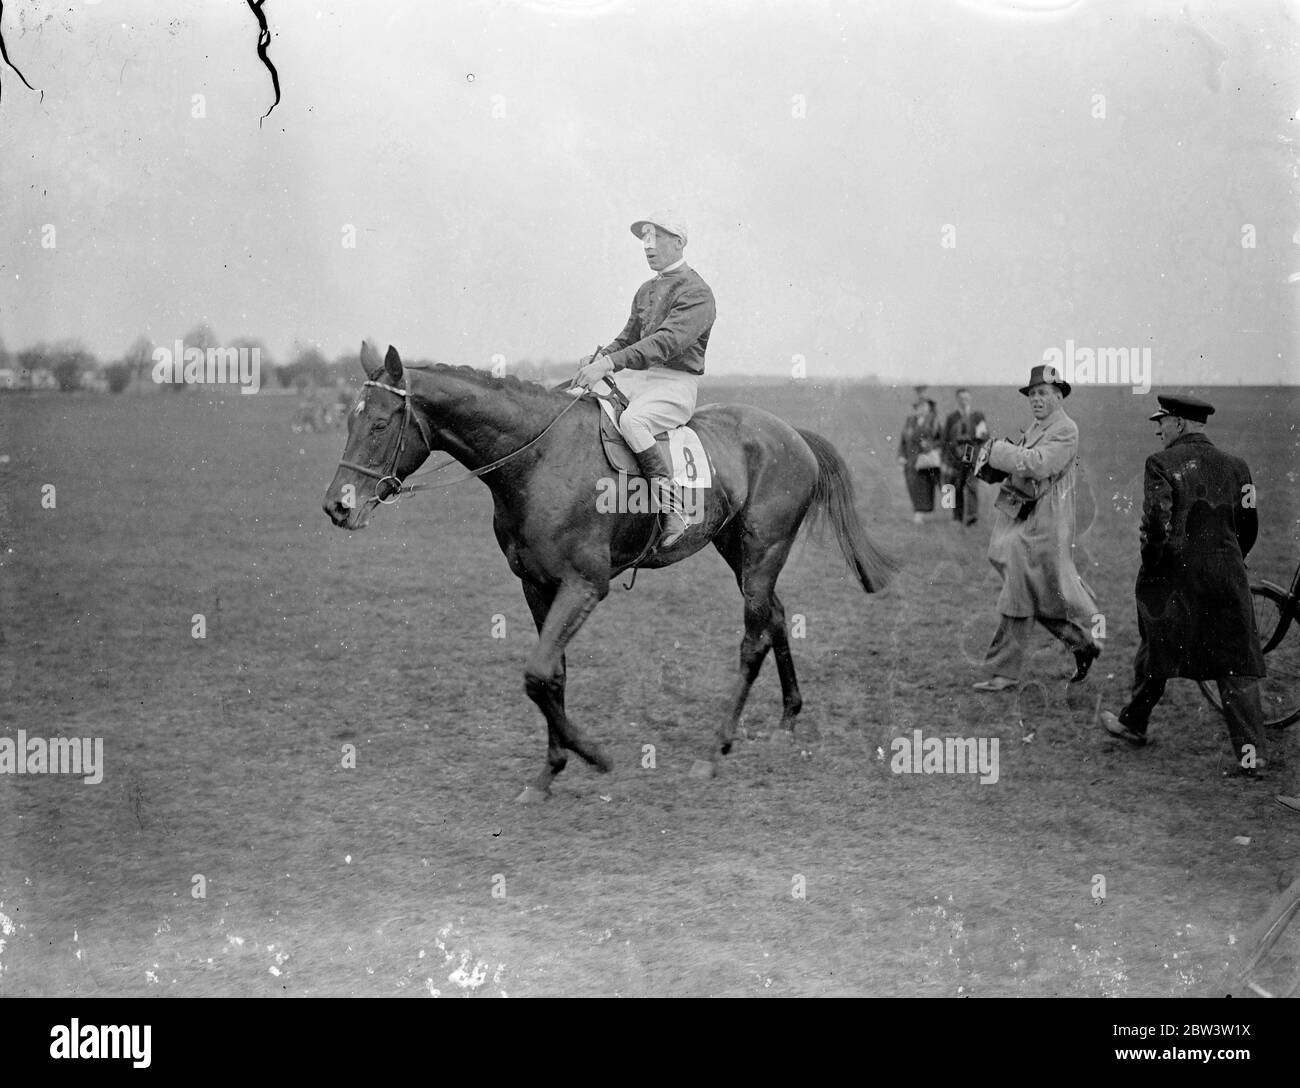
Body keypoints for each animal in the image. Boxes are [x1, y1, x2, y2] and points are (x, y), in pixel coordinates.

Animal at [322, 343, 894, 800]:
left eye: (379, 424)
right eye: (348, 422)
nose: (337, 506)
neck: (538, 458)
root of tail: (790, 433)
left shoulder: (584, 586)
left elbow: (536, 674)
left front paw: (594, 755)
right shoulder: (537, 586)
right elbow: (552, 675)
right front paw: (548, 774)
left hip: (761, 555)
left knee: (753, 641)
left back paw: (714, 750)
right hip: (739, 554)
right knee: (776, 616)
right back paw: (787, 720)